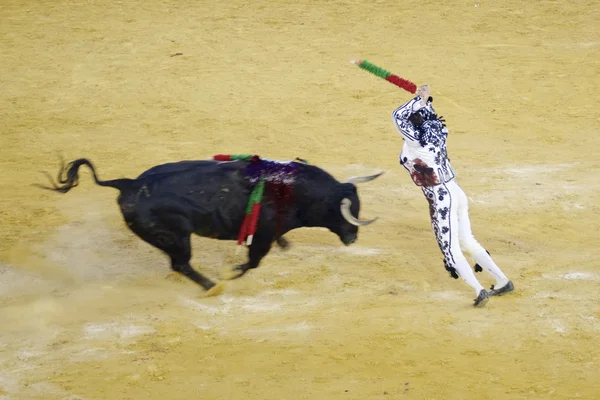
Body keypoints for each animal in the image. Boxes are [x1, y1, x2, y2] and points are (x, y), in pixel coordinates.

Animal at [38, 158, 384, 296]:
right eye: (346, 212)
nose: (353, 238)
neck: (295, 190)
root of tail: (129, 184)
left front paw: (286, 245)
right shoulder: (261, 236)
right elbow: (253, 263)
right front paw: (230, 274)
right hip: (176, 237)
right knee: (180, 264)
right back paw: (211, 286)